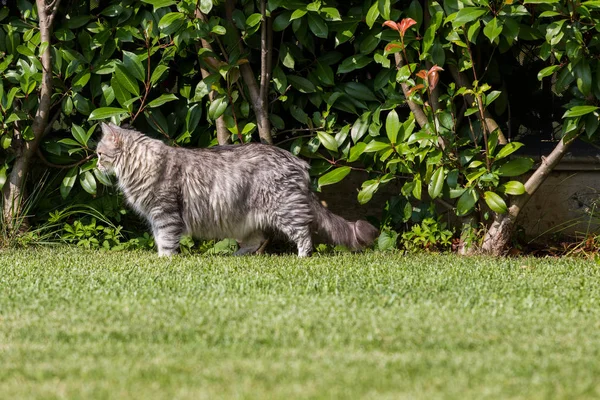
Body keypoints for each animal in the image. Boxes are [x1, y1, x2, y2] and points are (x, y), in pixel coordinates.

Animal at [97, 122, 380, 258]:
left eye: (100, 153)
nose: (96, 164)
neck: (139, 164)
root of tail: (296, 161)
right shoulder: (156, 217)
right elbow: (159, 239)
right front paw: (160, 257)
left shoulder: (164, 213)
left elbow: (166, 241)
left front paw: (164, 260)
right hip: (244, 220)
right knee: (255, 241)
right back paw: (234, 256)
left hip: (285, 210)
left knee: (303, 234)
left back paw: (301, 257)